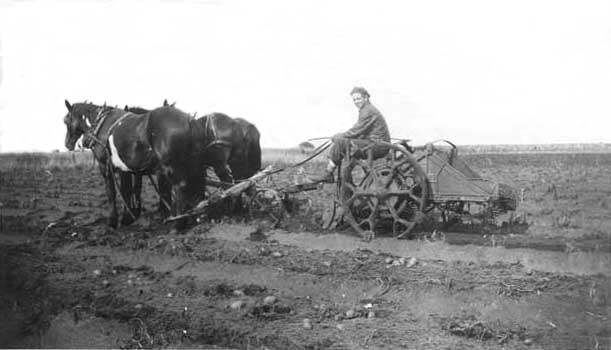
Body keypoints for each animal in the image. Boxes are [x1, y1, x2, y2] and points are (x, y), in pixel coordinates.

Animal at [62, 100, 208, 230]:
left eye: (66, 120)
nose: (68, 144)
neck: (100, 125)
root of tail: (190, 120)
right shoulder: (126, 168)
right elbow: (129, 190)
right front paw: (129, 217)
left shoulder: (106, 166)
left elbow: (112, 193)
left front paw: (113, 221)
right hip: (192, 165)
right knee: (196, 187)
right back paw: (195, 215)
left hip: (172, 167)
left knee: (180, 188)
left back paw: (178, 224)